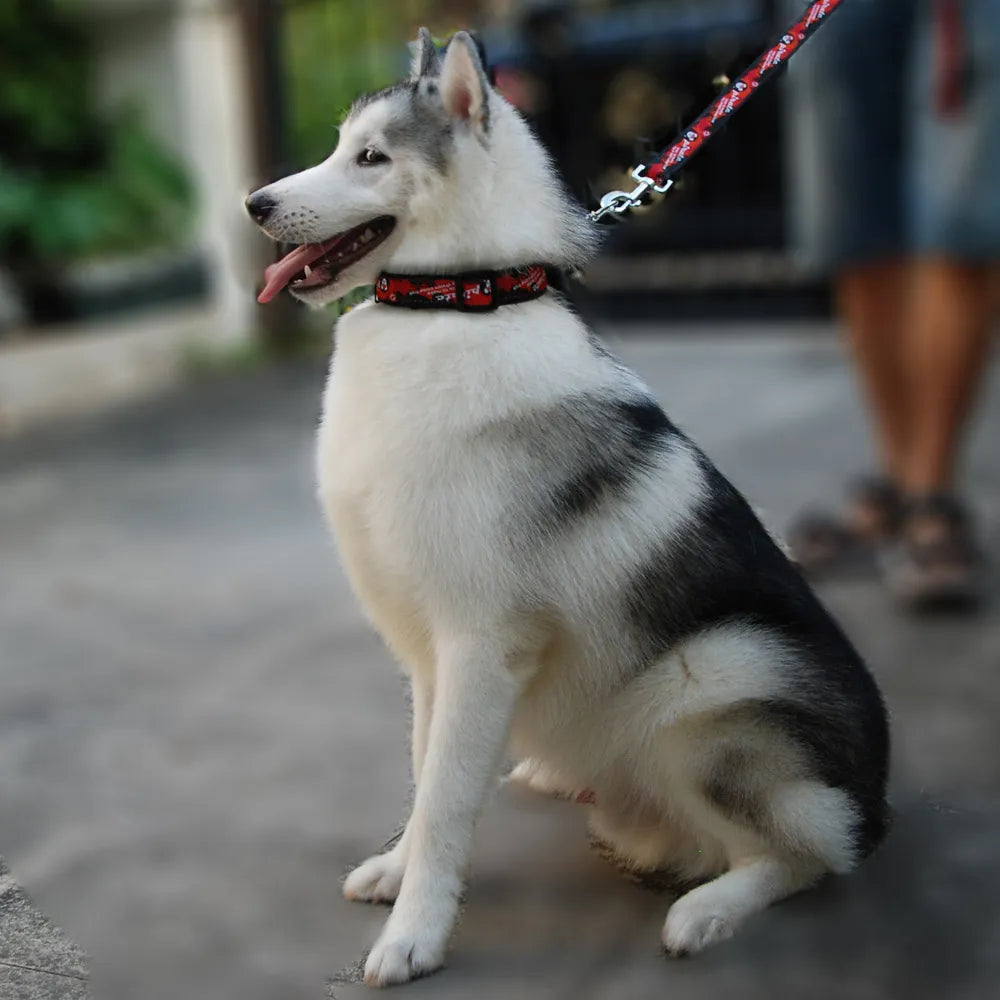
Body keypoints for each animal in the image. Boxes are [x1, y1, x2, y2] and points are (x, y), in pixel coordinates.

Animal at [246, 29, 888, 984]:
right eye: (337, 147)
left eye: (370, 158)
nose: (253, 203)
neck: (461, 303)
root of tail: (876, 801)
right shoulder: (432, 657)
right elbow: (427, 780)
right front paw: (399, 874)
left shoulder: (481, 643)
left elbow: (446, 801)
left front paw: (413, 935)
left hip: (715, 676)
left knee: (806, 853)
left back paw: (708, 910)